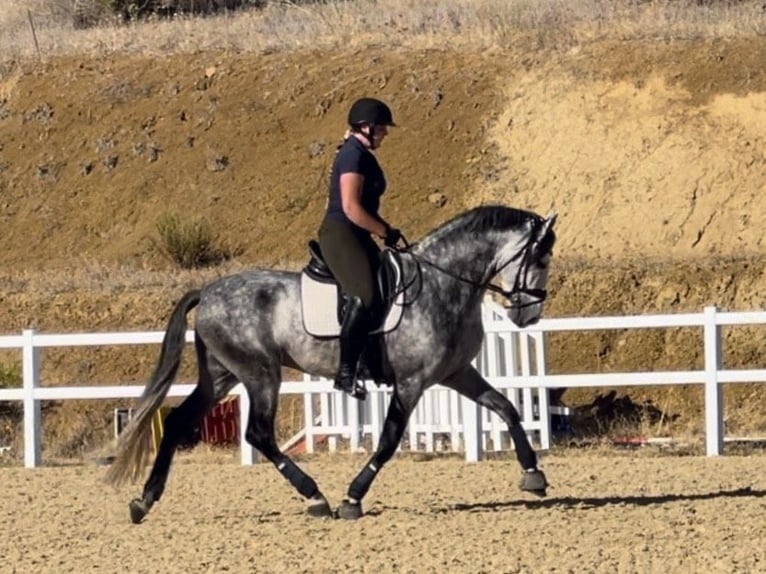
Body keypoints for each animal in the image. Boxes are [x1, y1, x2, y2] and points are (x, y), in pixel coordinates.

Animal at [106, 205, 560, 524]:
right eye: (540, 257)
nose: (529, 315)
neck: (442, 284)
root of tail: (208, 291)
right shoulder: (411, 382)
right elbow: (389, 440)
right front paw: (353, 497)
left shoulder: (455, 374)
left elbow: (507, 407)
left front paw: (533, 474)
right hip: (259, 373)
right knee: (258, 434)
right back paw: (315, 496)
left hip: (222, 375)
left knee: (178, 422)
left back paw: (143, 501)